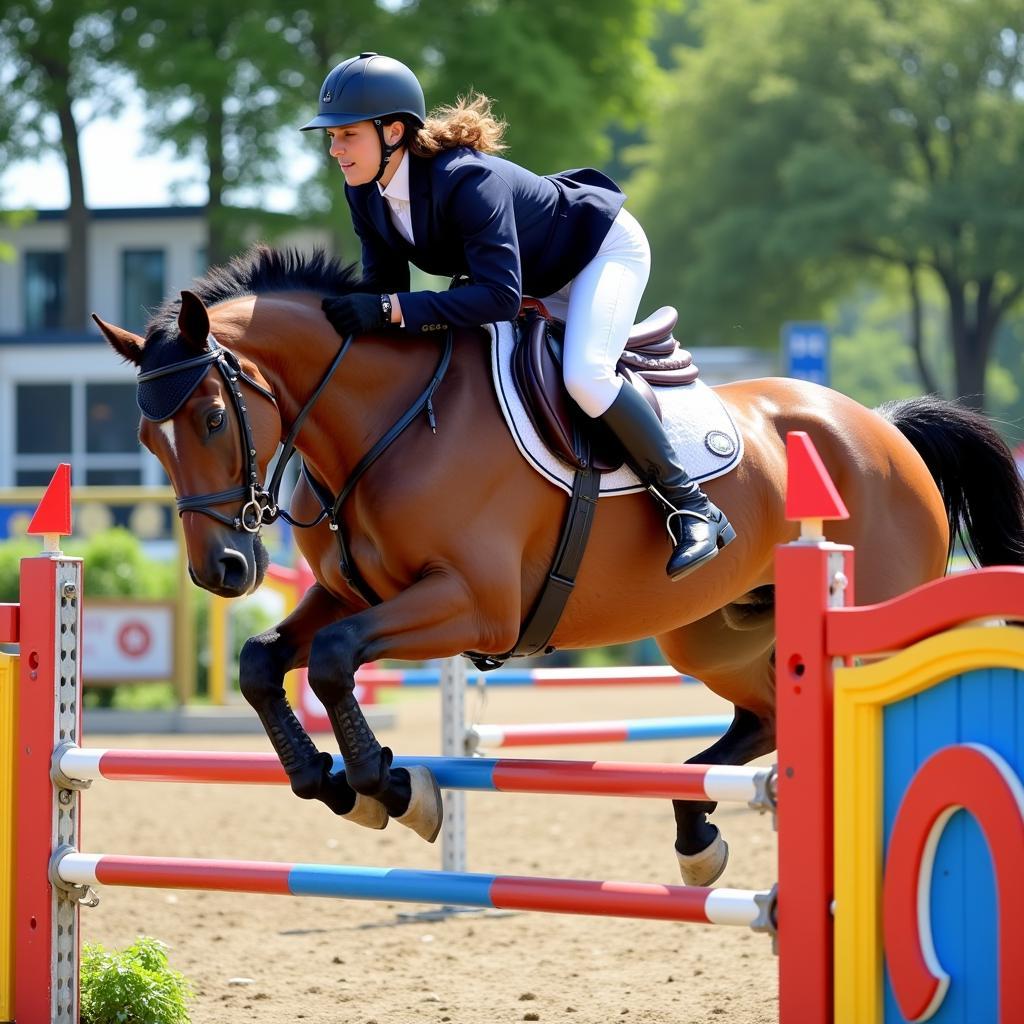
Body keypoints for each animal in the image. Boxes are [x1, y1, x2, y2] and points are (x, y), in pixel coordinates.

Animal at [92, 243, 1024, 884]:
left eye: (213, 417)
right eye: (145, 435)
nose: (222, 570)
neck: (392, 419)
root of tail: (881, 427)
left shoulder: (473, 605)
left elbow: (330, 659)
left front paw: (390, 788)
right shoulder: (351, 591)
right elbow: (264, 661)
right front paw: (340, 783)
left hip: (867, 624)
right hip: (712, 632)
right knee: (763, 716)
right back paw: (696, 831)